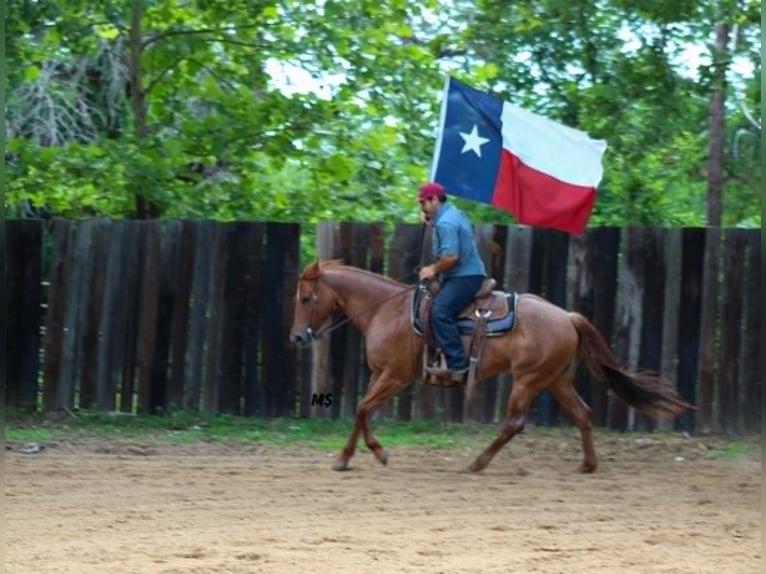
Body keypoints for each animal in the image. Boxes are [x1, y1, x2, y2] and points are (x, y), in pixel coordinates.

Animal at [289, 260, 691, 474]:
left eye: (307, 298)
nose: (297, 337)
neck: (386, 310)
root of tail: (567, 316)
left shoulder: (397, 376)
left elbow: (362, 408)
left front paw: (378, 452)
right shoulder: (379, 374)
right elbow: (361, 410)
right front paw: (344, 458)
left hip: (527, 380)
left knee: (514, 423)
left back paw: (476, 464)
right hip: (556, 380)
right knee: (582, 414)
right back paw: (587, 465)